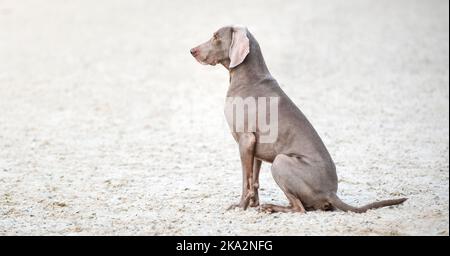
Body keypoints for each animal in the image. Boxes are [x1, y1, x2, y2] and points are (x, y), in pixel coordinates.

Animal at [190, 25, 408, 214]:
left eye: (216, 36)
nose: (191, 50)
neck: (247, 77)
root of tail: (331, 192)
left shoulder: (245, 139)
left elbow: (246, 180)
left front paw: (240, 206)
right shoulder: (255, 146)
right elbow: (255, 180)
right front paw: (252, 204)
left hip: (281, 162)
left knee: (299, 209)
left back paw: (271, 207)